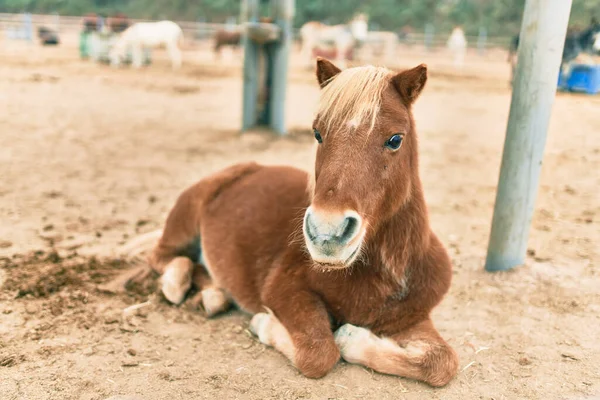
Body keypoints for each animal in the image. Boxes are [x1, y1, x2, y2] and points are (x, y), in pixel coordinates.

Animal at [113, 57, 460, 388]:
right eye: (318, 134)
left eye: (395, 139)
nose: (327, 234)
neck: (380, 273)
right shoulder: (285, 291)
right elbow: (319, 351)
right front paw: (265, 324)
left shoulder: (409, 318)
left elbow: (442, 362)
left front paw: (354, 337)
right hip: (184, 223)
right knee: (164, 258)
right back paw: (179, 284)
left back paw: (214, 296)